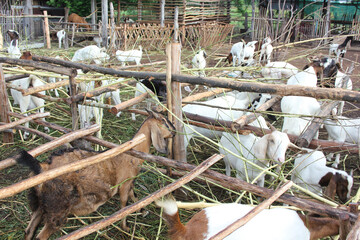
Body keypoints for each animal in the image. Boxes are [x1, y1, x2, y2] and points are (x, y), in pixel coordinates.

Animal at [16, 109, 175, 239]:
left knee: (28, 231)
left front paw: (142, 211)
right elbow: (124, 204)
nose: (174, 131)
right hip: (57, 207)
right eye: (164, 121)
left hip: (40, 205)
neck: (131, 153)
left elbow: (134, 196)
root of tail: (42, 166)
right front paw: (125, 227)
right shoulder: (124, 183)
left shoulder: (130, 182)